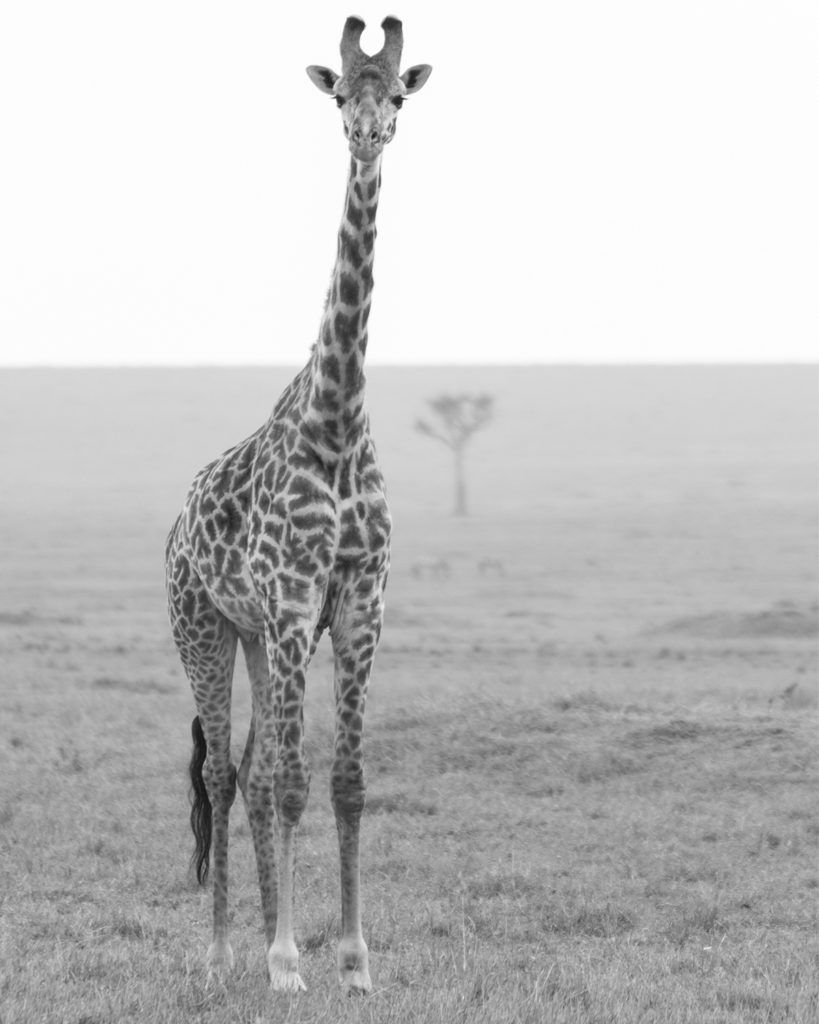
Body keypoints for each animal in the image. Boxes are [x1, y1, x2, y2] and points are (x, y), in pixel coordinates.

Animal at [163, 14, 432, 991]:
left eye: (397, 98)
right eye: (339, 93)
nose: (367, 133)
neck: (338, 421)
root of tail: (175, 528)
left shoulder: (357, 603)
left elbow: (346, 781)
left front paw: (351, 960)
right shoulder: (288, 601)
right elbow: (289, 780)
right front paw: (284, 962)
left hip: (255, 636)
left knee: (246, 768)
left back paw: (248, 944)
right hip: (204, 625)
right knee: (225, 774)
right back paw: (220, 952)